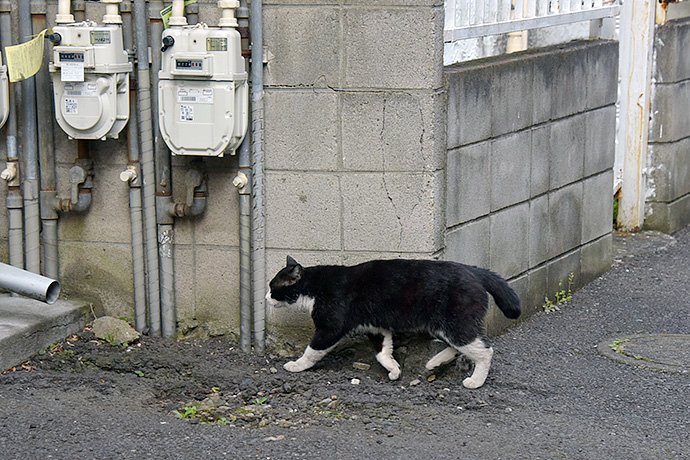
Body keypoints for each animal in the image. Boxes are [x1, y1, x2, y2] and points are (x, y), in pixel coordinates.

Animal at [266, 255, 520, 388]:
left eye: (272, 286)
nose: (266, 297)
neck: (314, 287)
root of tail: (474, 270)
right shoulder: (375, 327)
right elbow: (382, 351)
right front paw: (394, 369)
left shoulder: (331, 326)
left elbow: (313, 349)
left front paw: (297, 365)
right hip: (444, 325)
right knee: (460, 346)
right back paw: (434, 363)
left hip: (455, 321)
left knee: (484, 350)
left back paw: (475, 380)